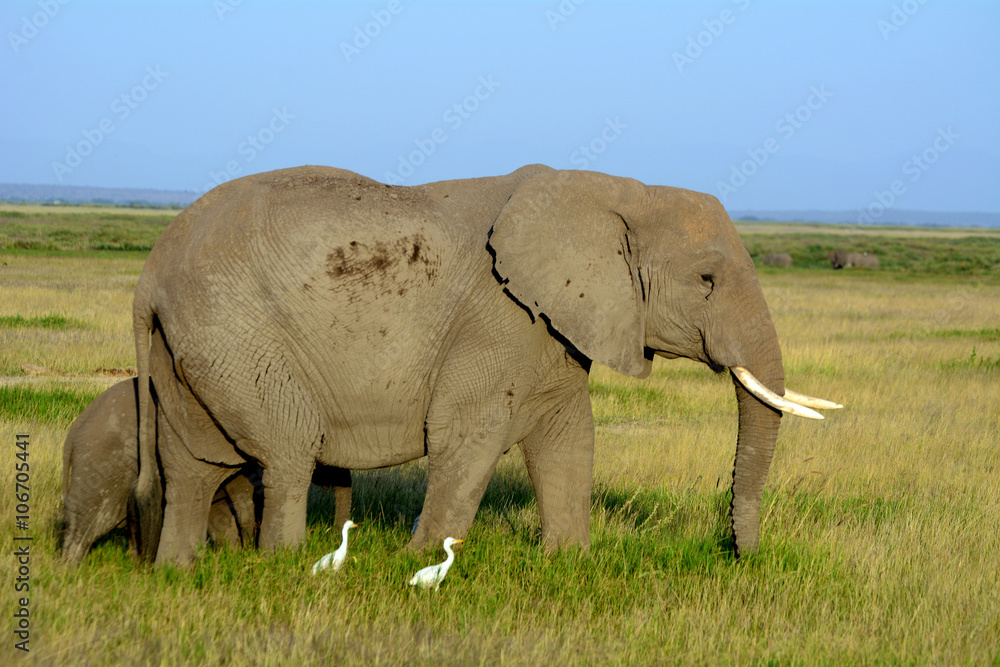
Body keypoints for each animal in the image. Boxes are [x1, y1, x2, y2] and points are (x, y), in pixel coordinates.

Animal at [62, 378, 352, 564]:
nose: (333, 534)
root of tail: (73, 434)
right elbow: (242, 501)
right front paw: (247, 549)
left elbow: (220, 515)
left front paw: (232, 556)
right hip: (102, 466)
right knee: (90, 523)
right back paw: (69, 573)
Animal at [131, 164, 839, 565]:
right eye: (707, 279)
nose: (737, 559)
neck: (620, 192)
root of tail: (151, 271)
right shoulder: (499, 316)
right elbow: (470, 434)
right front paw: (418, 562)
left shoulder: (555, 329)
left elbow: (569, 438)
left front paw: (567, 565)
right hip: (235, 328)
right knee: (286, 449)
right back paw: (287, 564)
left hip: (193, 346)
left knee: (191, 465)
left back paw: (176, 571)